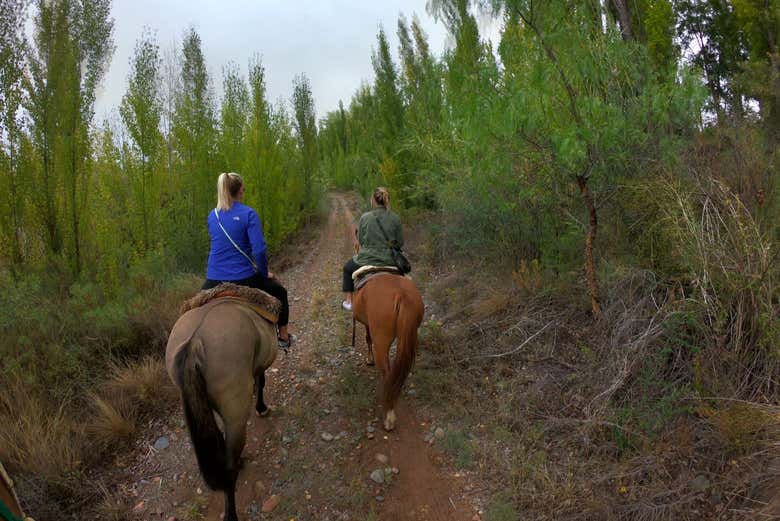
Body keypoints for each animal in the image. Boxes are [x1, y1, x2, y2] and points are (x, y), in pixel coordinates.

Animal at [165, 296, 278, 520]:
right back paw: (231, 513)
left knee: (218, 438)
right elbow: (261, 381)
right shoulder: (259, 367)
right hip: (235, 416)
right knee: (229, 468)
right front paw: (262, 408)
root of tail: (195, 341)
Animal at [354, 272, 426, 430]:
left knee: (387, 374)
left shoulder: (368, 325)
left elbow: (367, 337)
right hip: (408, 335)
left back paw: (389, 417)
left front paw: (370, 359)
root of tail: (401, 295)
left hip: (381, 340)